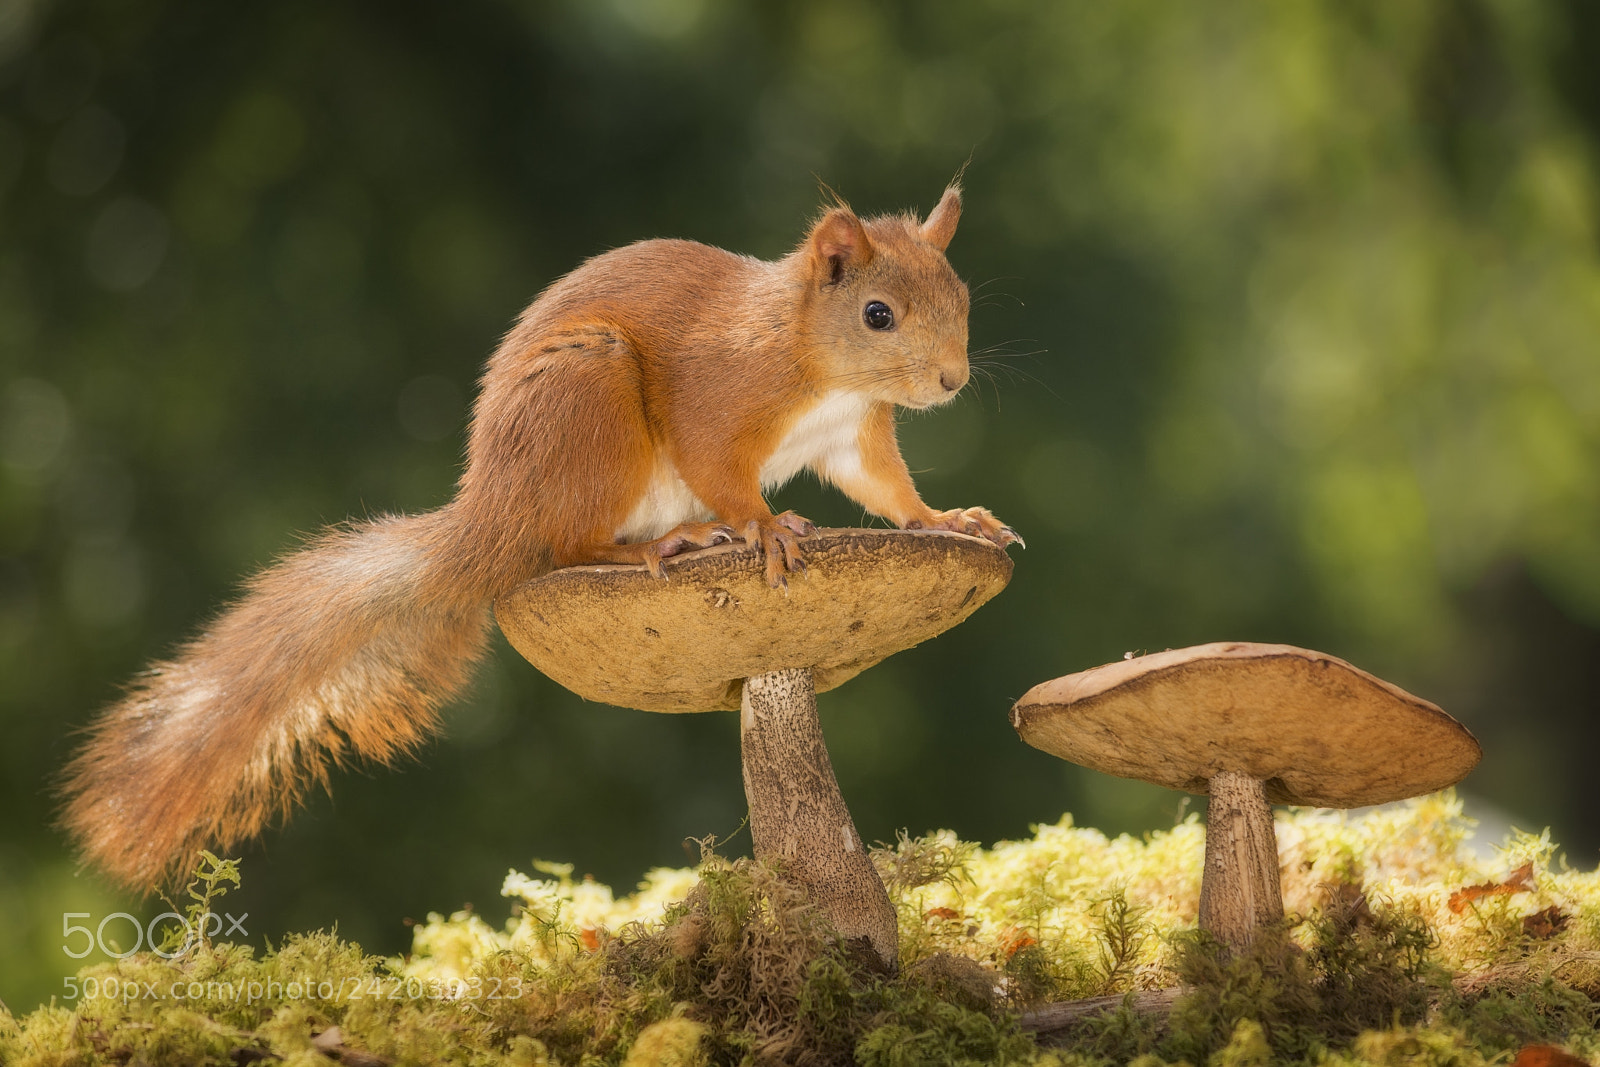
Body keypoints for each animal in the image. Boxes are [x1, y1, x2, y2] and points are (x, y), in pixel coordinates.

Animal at [61, 184, 1021, 891]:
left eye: (963, 296)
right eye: (877, 314)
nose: (951, 381)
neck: (811, 356)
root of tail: (491, 515)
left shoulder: (854, 433)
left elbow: (889, 490)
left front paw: (951, 520)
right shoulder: (719, 398)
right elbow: (720, 463)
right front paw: (760, 527)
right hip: (590, 404)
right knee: (565, 545)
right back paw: (661, 545)